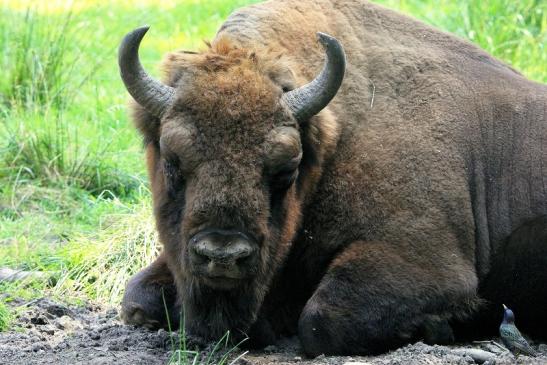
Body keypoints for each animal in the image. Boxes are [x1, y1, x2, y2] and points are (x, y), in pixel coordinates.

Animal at [119, 0, 547, 354]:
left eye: (286, 168)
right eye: (172, 160)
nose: (222, 255)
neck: (338, 135)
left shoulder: (429, 265)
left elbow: (321, 322)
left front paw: (440, 327)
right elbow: (136, 299)